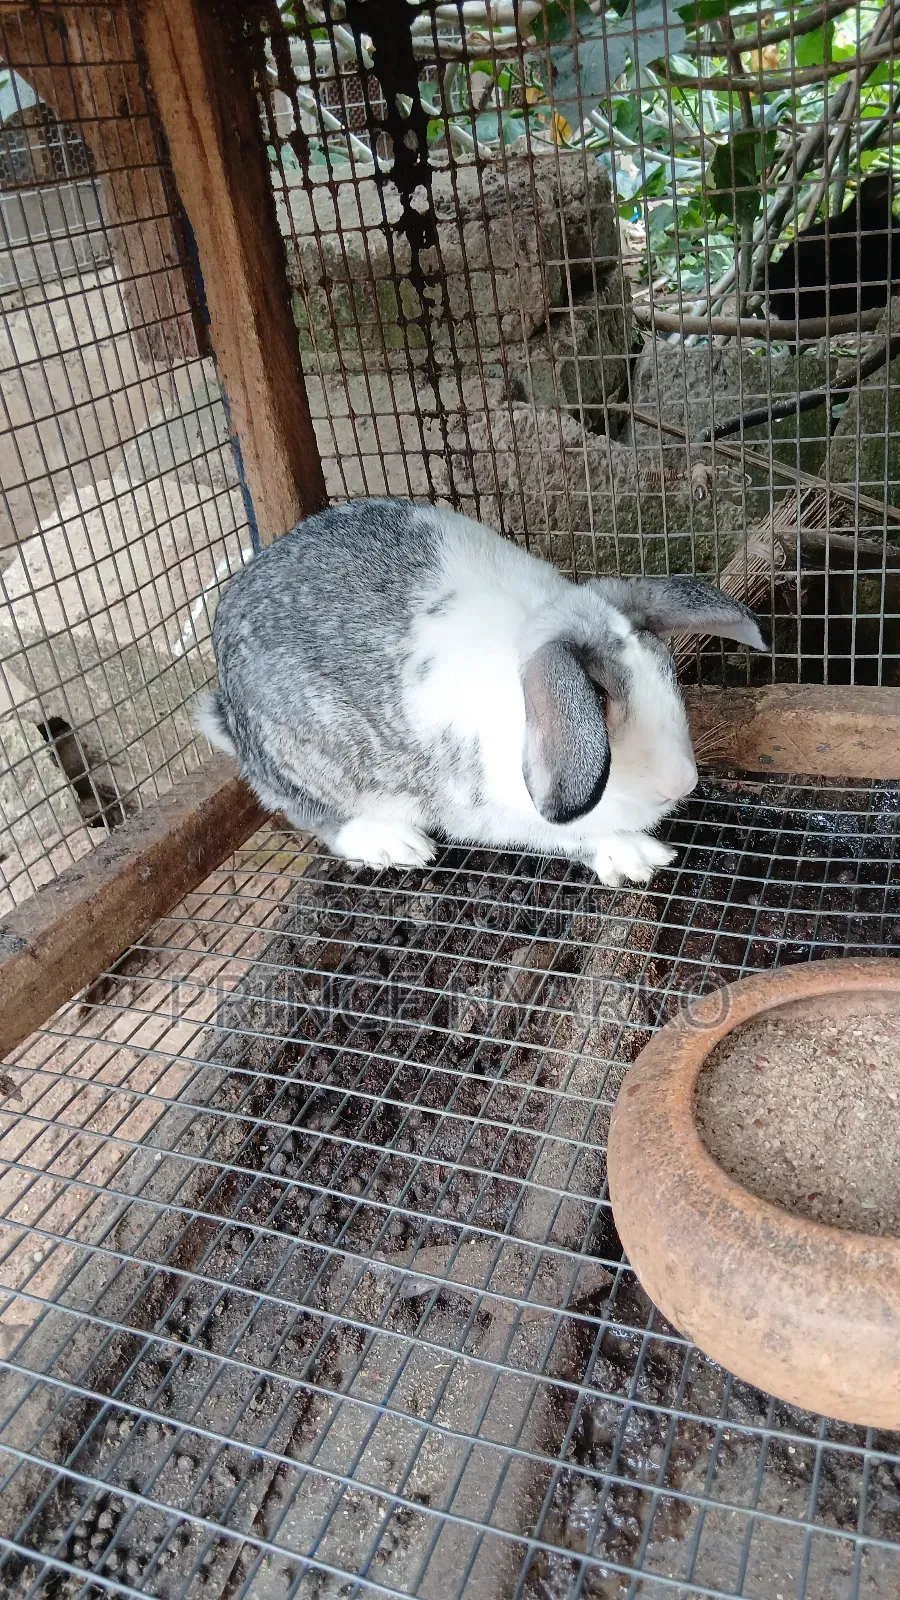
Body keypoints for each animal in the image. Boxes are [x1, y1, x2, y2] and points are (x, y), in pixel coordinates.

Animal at [198, 498, 765, 885]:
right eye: (599, 699)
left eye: (665, 666)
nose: (681, 783)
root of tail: (225, 709)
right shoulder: (495, 813)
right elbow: (570, 833)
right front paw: (637, 858)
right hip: (309, 767)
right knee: (312, 815)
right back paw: (395, 844)